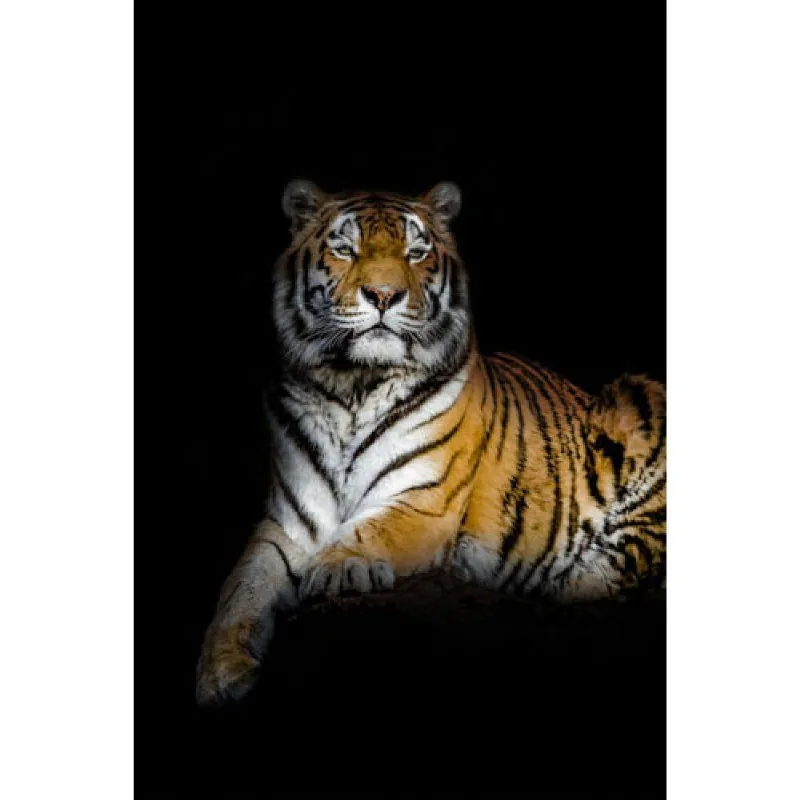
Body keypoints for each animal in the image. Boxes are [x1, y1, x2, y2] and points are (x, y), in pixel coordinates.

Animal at [195, 179, 666, 706]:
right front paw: (221, 672)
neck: (352, 387)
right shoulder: (290, 520)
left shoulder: (424, 500)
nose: (384, 295)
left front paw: (337, 567)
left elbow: (367, 530)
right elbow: (242, 587)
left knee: (630, 560)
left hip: (639, 397)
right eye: (345, 249)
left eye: (416, 253)